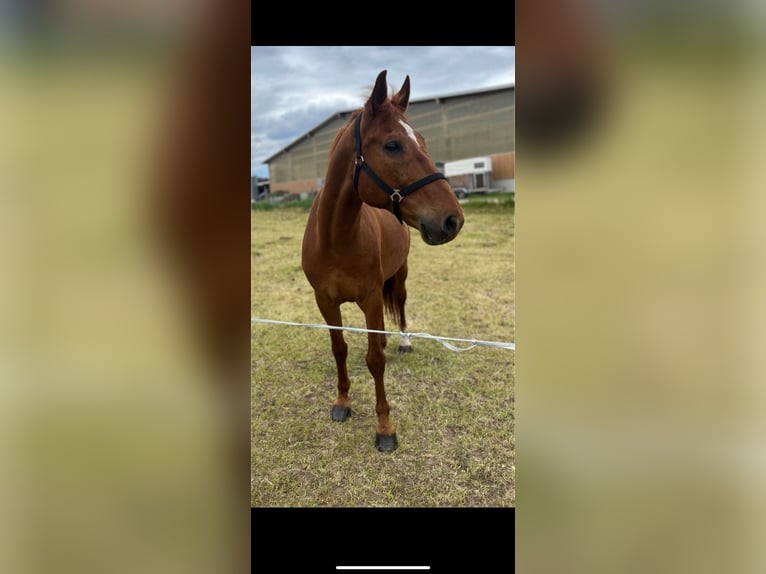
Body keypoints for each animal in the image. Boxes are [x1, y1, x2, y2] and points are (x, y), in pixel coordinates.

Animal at [301, 70, 465, 452]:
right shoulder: (325, 301)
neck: (337, 238)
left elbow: (375, 360)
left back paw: (402, 341)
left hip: (400, 276)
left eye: (422, 140)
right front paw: (342, 402)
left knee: (401, 305)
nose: (453, 220)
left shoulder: (372, 298)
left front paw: (385, 428)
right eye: (393, 145)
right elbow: (340, 349)